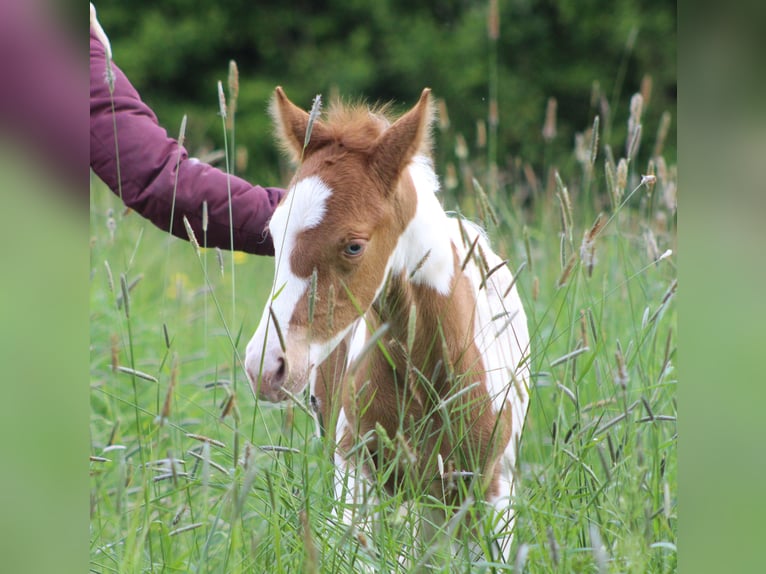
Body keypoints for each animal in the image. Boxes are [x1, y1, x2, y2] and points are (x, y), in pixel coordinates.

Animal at [243, 88, 532, 564]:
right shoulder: (357, 474)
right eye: (271, 231)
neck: (427, 372)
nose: (265, 367)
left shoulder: (488, 493)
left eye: (354, 246)